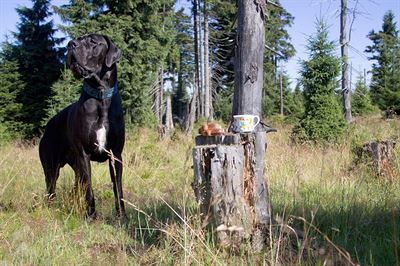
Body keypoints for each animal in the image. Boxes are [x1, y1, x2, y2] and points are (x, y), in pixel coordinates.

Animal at [39, 34, 125, 219]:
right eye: (77, 39)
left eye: (93, 42)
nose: (71, 44)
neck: (101, 96)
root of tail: (48, 125)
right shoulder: (84, 155)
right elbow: (89, 189)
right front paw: (91, 215)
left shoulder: (115, 155)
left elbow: (118, 188)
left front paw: (122, 216)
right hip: (51, 167)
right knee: (51, 190)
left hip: (75, 166)